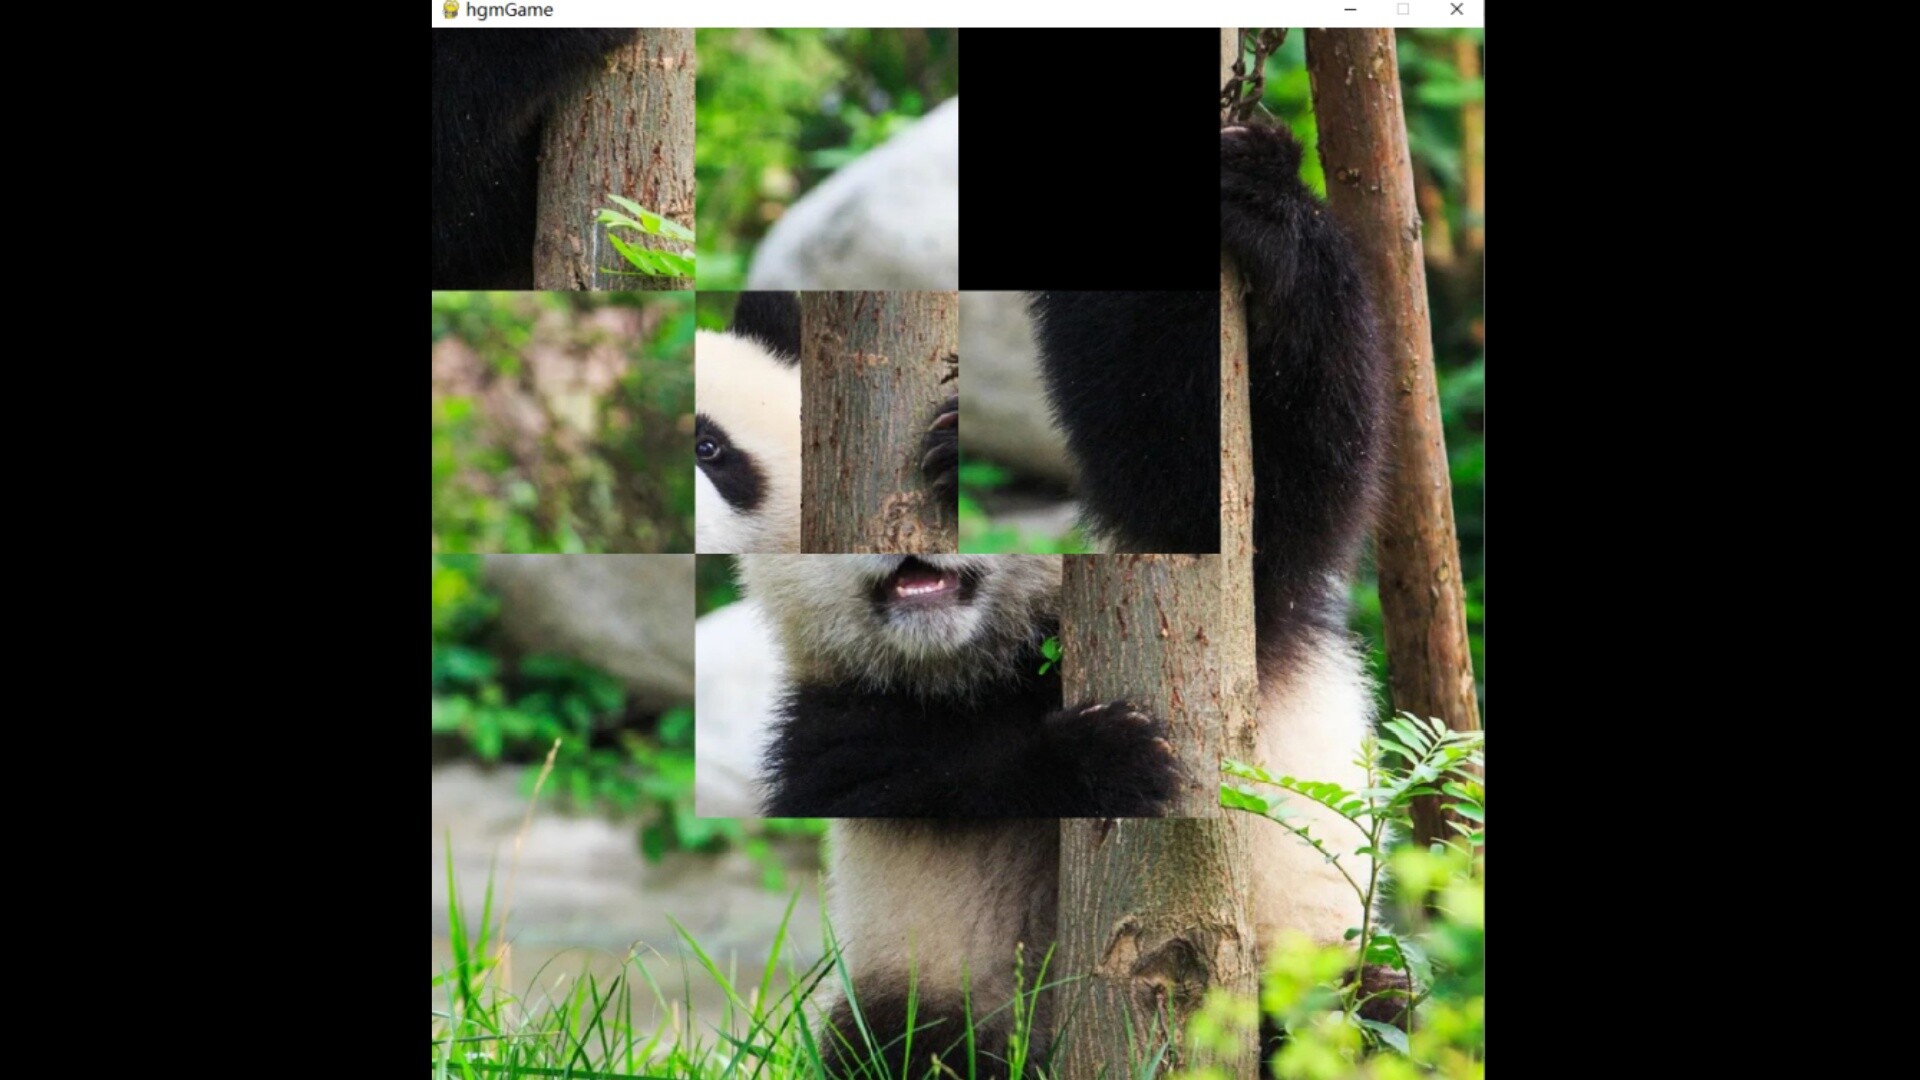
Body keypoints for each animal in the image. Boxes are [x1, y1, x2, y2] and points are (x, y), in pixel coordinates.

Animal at [735, 122, 1392, 1076]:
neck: (991, 663)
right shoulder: (829, 719)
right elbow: (903, 775)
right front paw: (1103, 758)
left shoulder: (1255, 599)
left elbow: (1259, 488)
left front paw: (1256, 199)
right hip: (931, 998)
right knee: (892, 1042)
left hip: (1315, 972)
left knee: (1361, 1015)